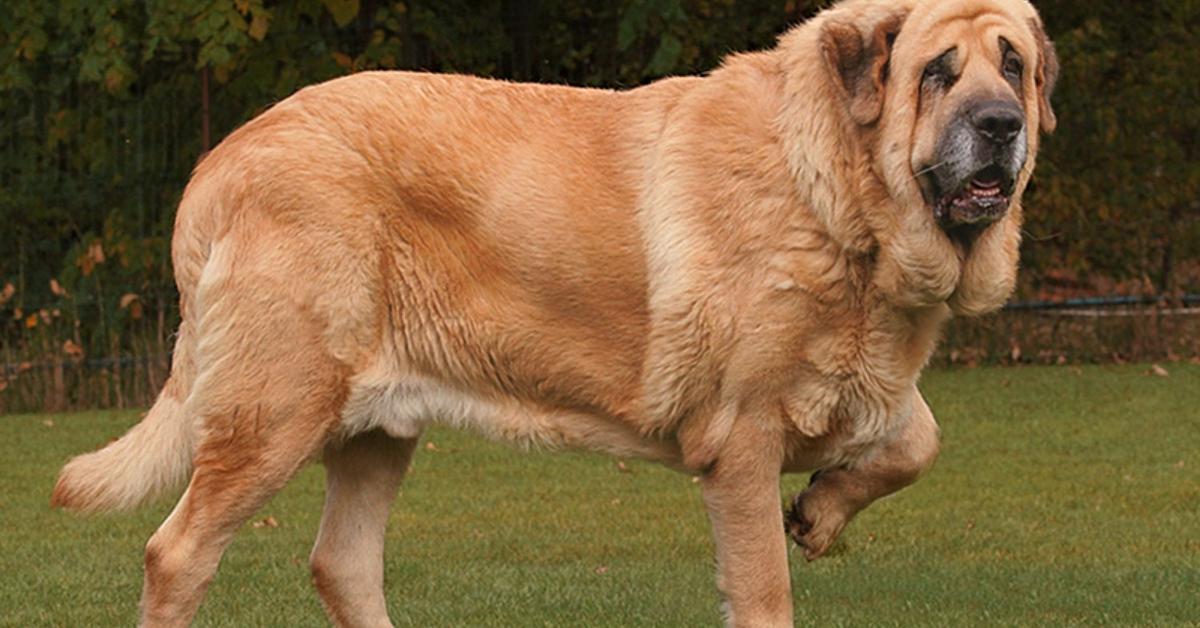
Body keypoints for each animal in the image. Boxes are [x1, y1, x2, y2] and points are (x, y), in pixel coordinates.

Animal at [51, 0, 1056, 624]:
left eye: (1014, 66)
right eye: (938, 72)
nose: (1002, 125)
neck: (838, 194)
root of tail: (221, 161)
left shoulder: (860, 380)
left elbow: (920, 439)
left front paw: (820, 513)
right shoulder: (742, 434)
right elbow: (765, 588)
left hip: (374, 426)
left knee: (341, 564)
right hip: (276, 412)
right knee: (178, 554)